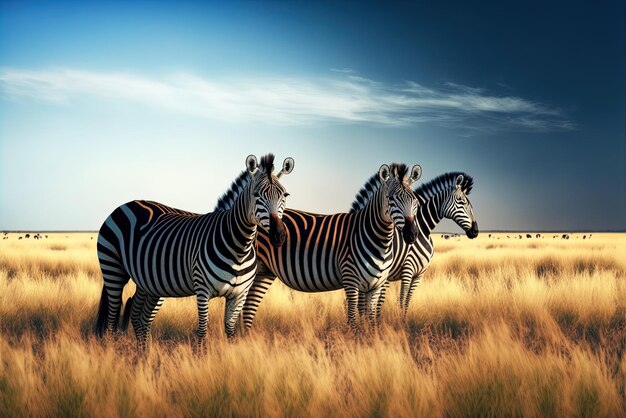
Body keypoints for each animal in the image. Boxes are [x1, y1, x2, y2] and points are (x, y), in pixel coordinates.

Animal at [94, 154, 294, 350]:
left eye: (285, 195)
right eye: (256, 194)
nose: (279, 235)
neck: (239, 248)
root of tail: (126, 204)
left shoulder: (239, 295)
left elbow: (230, 332)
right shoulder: (203, 290)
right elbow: (202, 330)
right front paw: (200, 358)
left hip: (149, 282)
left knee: (140, 316)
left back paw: (144, 354)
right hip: (113, 269)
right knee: (113, 317)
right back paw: (112, 351)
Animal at [241, 163, 422, 330]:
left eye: (415, 201)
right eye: (391, 199)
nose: (412, 234)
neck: (378, 240)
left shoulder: (375, 286)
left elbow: (370, 322)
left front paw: (371, 340)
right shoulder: (351, 281)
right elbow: (352, 321)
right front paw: (355, 341)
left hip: (264, 271)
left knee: (249, 304)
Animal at [370, 171, 478, 316]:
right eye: (462, 202)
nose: (475, 231)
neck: (423, 229)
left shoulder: (419, 274)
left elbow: (408, 300)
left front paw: (404, 319)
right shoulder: (408, 270)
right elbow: (402, 299)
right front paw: (400, 320)